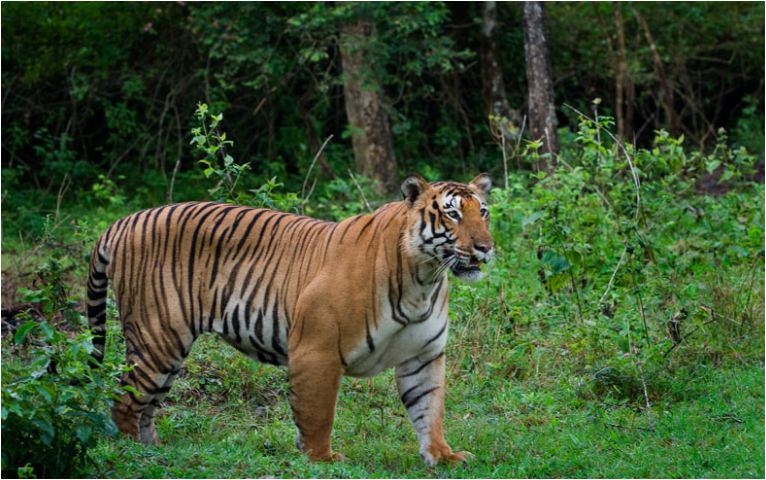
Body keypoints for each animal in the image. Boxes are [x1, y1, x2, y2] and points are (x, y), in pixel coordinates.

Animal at [86, 173, 495, 465]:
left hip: (169, 350)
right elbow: (317, 411)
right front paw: (322, 458)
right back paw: (134, 453)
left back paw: (155, 449)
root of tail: (123, 221)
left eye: (483, 212)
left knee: (146, 406)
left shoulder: (423, 355)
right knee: (124, 402)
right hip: (157, 337)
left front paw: (443, 456)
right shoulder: (317, 348)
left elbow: (429, 409)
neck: (424, 277)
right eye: (452, 214)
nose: (486, 248)